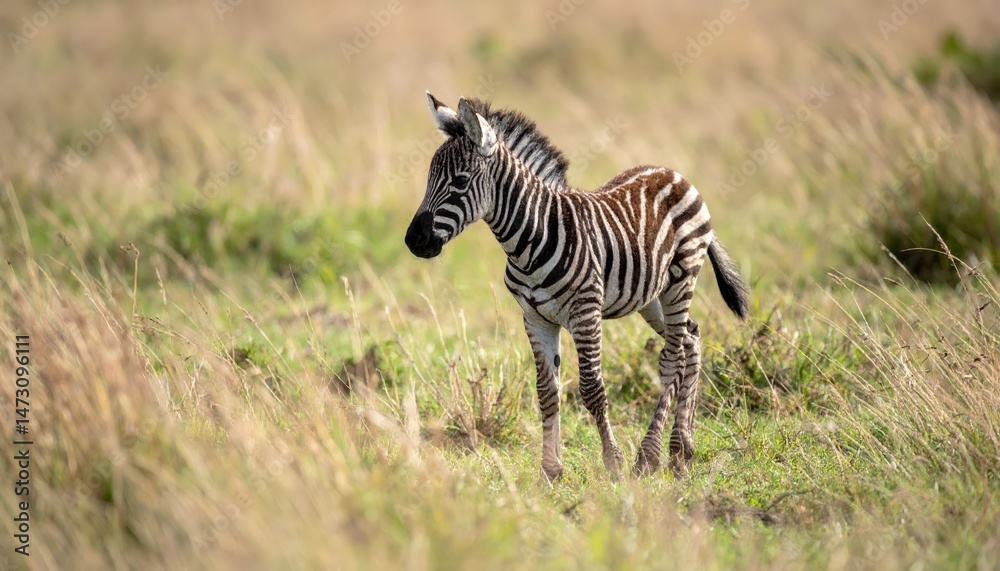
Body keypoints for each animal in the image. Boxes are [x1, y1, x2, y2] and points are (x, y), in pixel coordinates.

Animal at [405, 92, 749, 480]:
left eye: (460, 181)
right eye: (429, 179)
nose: (413, 241)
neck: (530, 237)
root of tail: (674, 173)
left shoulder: (585, 312)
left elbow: (591, 389)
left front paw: (613, 463)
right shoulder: (535, 317)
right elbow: (546, 390)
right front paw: (551, 470)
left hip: (681, 277)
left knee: (673, 356)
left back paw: (651, 455)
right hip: (652, 297)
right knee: (691, 338)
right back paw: (681, 449)